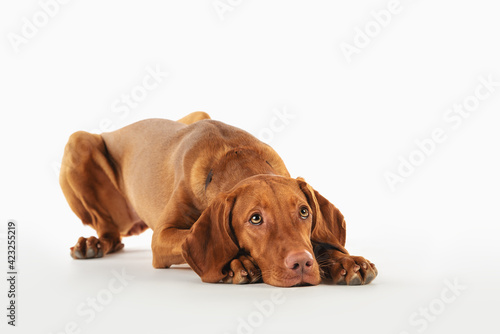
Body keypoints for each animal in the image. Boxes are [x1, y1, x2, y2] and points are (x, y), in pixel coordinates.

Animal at [59, 112, 378, 288]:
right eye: (255, 218)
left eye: (304, 212)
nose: (301, 264)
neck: (233, 154)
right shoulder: (161, 238)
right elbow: (188, 241)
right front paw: (238, 262)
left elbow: (320, 243)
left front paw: (346, 261)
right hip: (78, 142)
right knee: (109, 231)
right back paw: (92, 244)